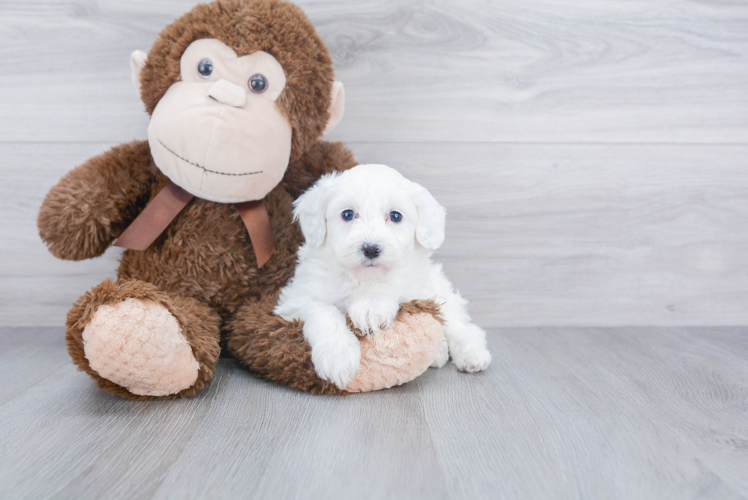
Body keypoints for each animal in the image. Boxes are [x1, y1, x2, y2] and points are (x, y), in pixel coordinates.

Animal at [274, 164, 490, 386]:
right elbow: (323, 310)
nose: (371, 249)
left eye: (395, 216)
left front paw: (371, 307)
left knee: (462, 328)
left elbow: (389, 283)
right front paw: (337, 358)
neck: (362, 277)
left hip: (440, 295)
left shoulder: (412, 282)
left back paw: (472, 355)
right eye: (347, 214)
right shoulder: (296, 298)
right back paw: (440, 353)